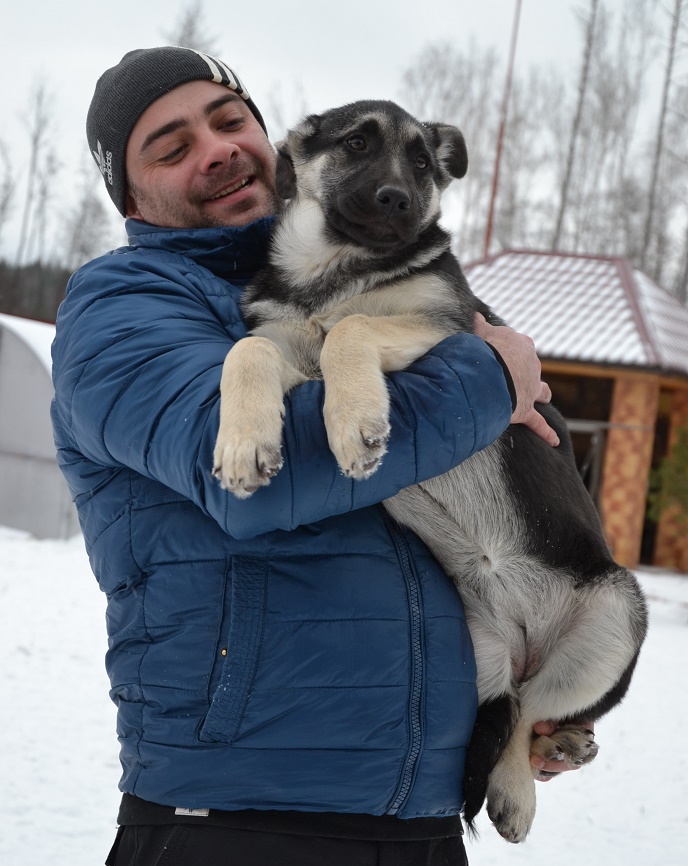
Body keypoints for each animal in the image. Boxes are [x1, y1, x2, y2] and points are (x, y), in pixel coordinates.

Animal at [212, 99, 648, 836]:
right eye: (358, 143)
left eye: (422, 160)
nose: (398, 199)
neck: (335, 268)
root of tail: (521, 640)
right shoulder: (284, 344)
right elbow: (249, 351)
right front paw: (243, 443)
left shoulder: (448, 330)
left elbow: (351, 329)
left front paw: (354, 420)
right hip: (477, 655)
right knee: (515, 705)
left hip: (616, 614)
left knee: (532, 711)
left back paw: (522, 786)